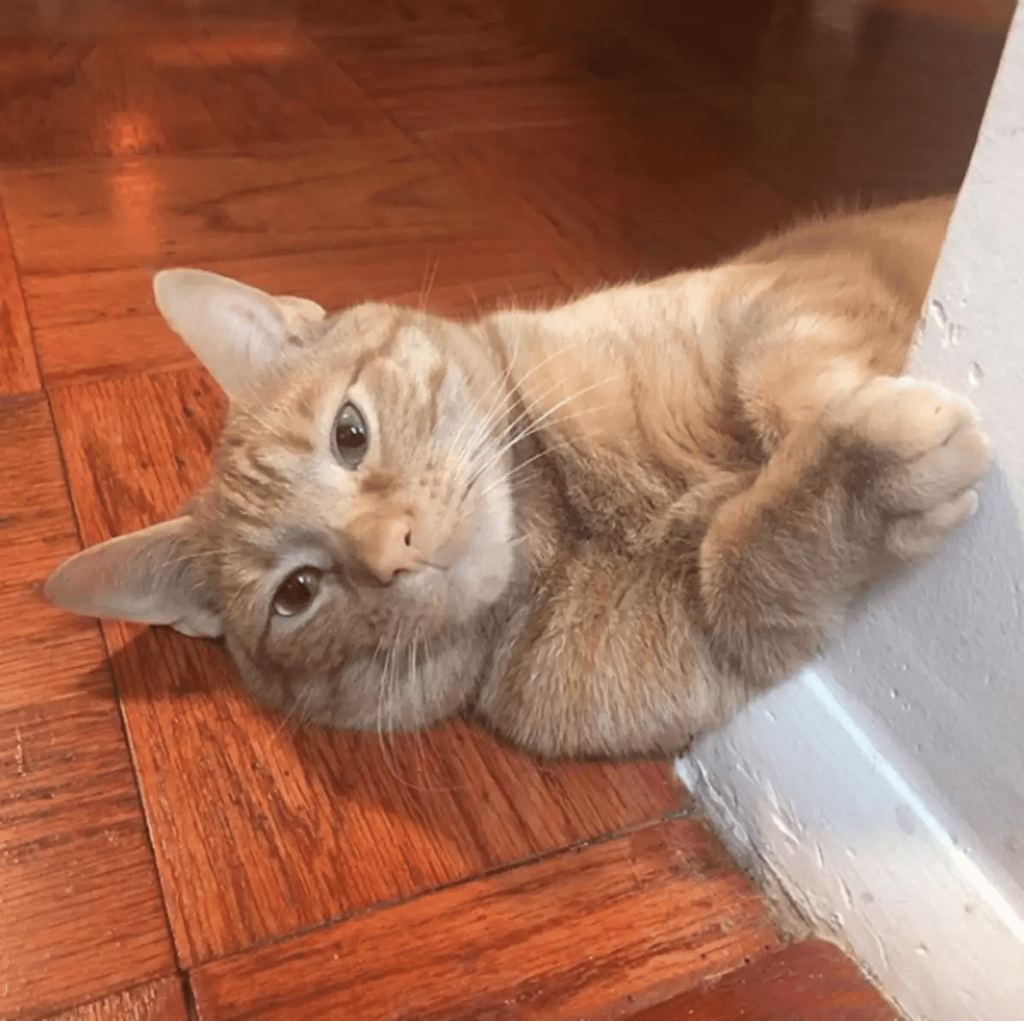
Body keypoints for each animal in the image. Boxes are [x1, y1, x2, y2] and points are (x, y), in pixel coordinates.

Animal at [46, 197, 991, 757]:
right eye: (297, 593)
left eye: (350, 434)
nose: (395, 549)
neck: (567, 521)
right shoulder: (712, 640)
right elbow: (744, 564)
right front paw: (865, 476)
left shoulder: (784, 289)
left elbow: (776, 372)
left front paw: (834, 426)